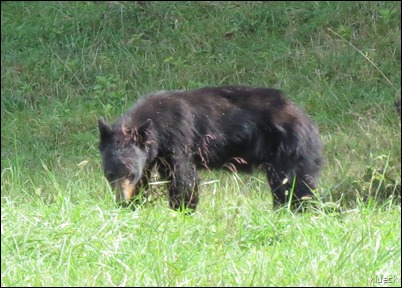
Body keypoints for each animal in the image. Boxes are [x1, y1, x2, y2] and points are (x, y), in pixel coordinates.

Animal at [98, 86, 324, 210]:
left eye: (130, 174)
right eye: (109, 175)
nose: (121, 201)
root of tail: (307, 119)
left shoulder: (177, 139)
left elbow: (183, 179)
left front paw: (182, 211)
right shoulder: (150, 156)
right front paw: (134, 205)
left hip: (290, 148)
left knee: (294, 185)